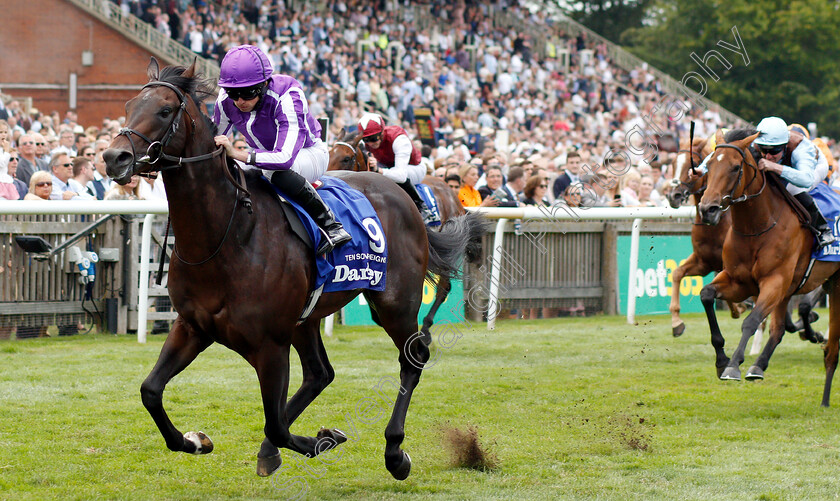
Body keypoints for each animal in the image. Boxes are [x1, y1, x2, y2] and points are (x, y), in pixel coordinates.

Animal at [696, 131, 840, 404]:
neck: (757, 226)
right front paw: (721, 360)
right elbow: (706, 294)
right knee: (780, 328)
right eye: (708, 166)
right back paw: (760, 364)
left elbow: (751, 321)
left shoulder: (774, 281)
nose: (707, 209)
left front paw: (733, 365)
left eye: (735, 167)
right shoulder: (738, 281)